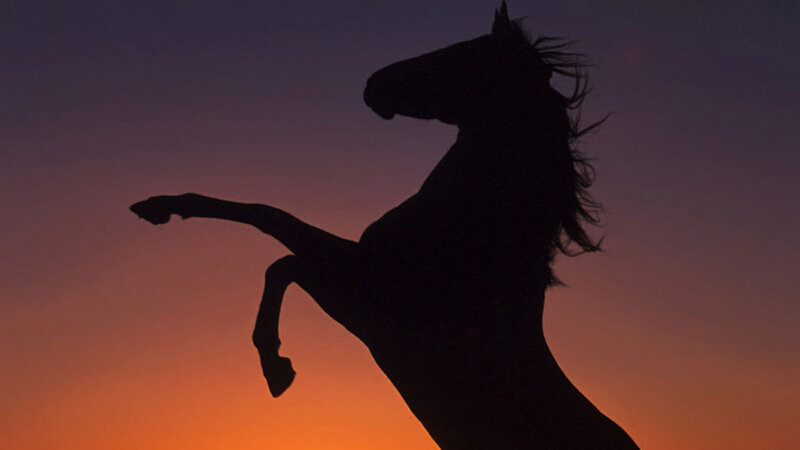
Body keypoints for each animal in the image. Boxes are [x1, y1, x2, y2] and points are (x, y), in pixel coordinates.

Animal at [130, 3, 638, 448]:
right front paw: (159, 207)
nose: (374, 83)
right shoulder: (355, 277)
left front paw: (277, 367)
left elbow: (282, 261)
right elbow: (266, 216)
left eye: (462, 55)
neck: (463, 244)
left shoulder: (361, 297)